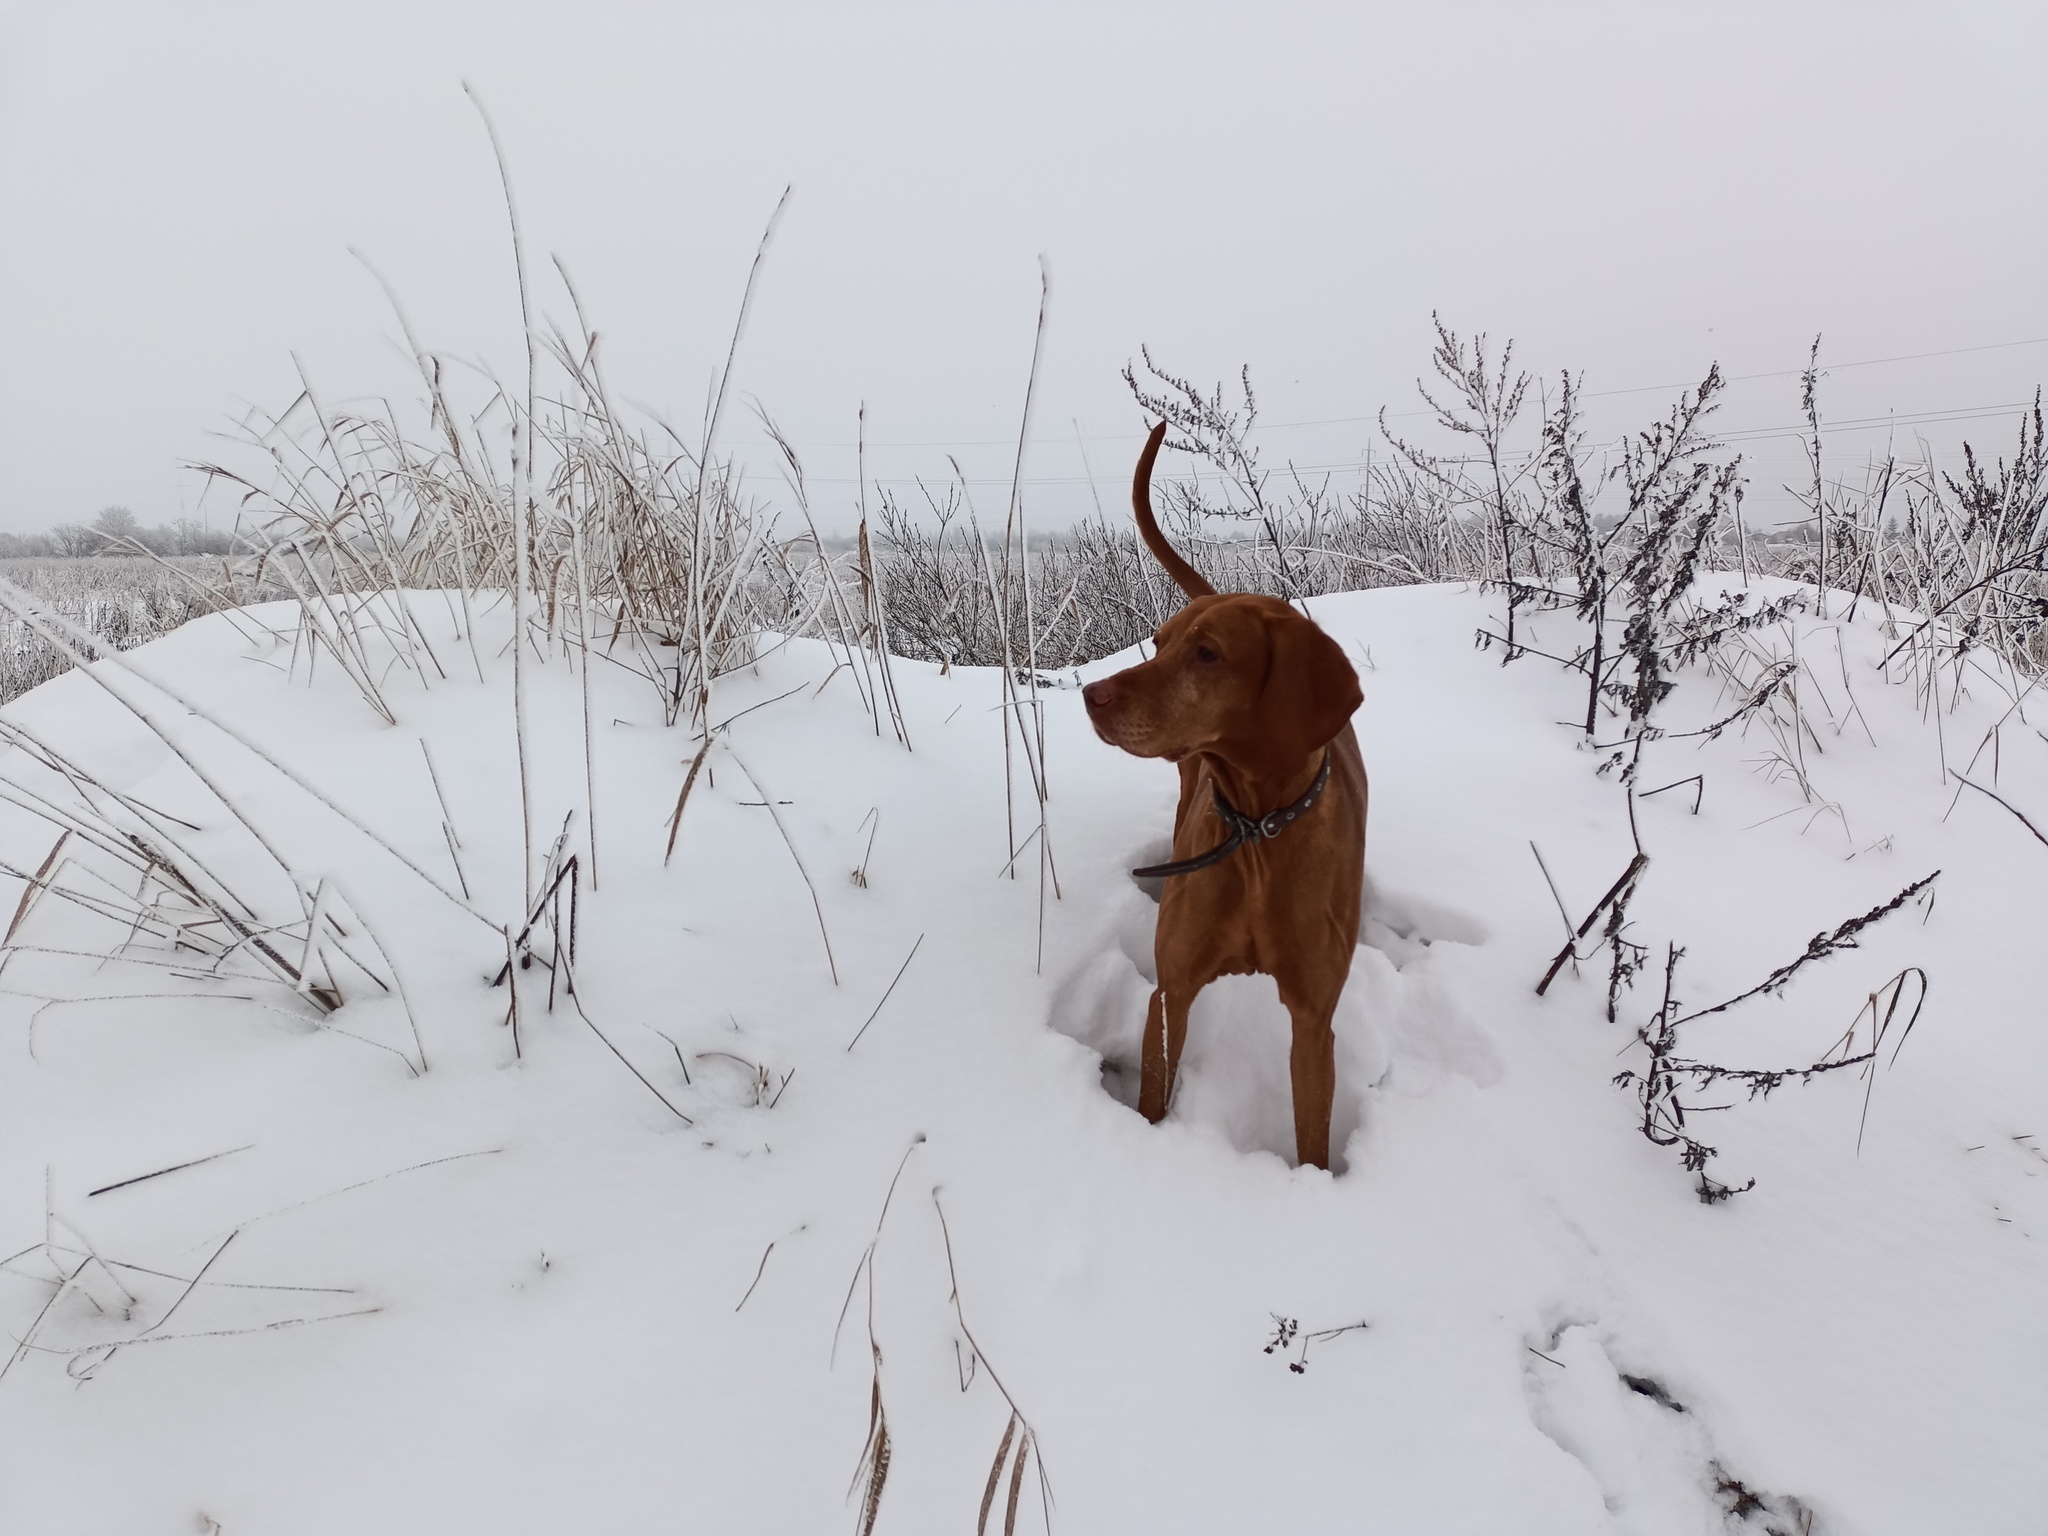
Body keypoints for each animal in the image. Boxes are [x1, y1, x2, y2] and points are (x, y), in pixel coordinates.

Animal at [1081, 421, 1368, 1163]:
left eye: (1207, 654)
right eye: (1157, 641)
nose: (1091, 695)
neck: (1258, 829)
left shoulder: (1313, 1021)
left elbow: (1313, 1137)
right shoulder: (1170, 993)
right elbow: (1154, 1095)